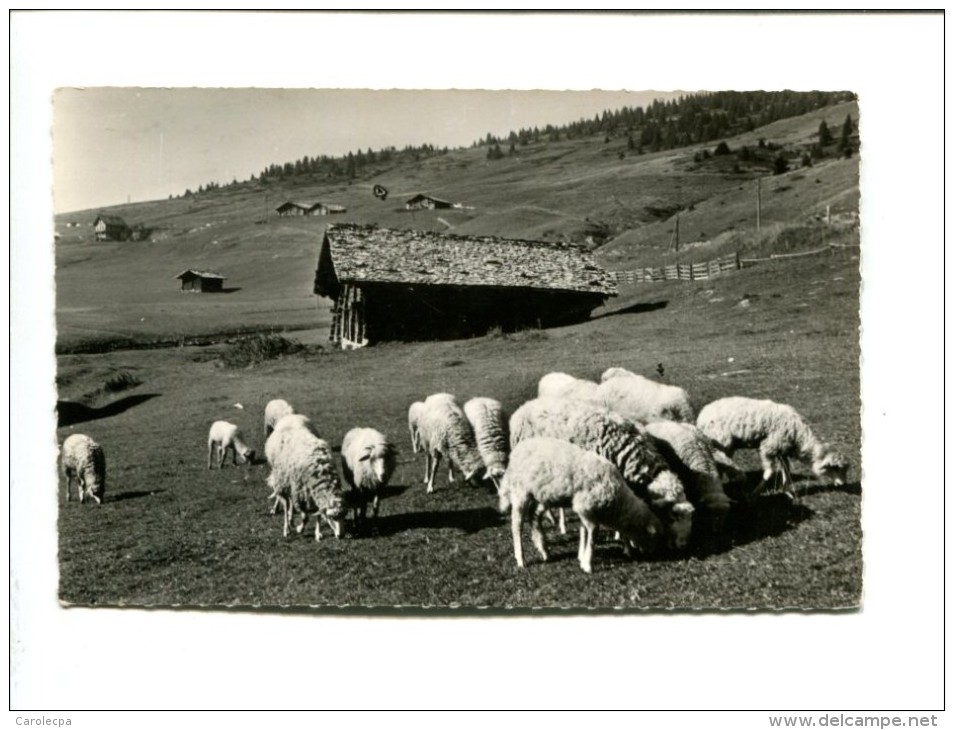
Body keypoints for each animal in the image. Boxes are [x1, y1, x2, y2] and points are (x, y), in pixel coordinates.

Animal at [498, 436, 660, 572]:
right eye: (651, 536)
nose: (652, 553)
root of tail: (517, 450)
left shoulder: (584, 509)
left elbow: (584, 530)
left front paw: (582, 555)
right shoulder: (585, 505)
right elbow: (593, 532)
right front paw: (588, 563)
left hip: (542, 496)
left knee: (534, 516)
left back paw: (544, 550)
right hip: (521, 492)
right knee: (517, 525)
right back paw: (521, 559)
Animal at [692, 396, 848, 498]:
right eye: (835, 468)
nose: (843, 484)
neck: (799, 435)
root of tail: (702, 415)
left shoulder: (781, 450)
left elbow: (786, 470)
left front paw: (787, 491)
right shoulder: (769, 447)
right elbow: (769, 472)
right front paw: (754, 493)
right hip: (722, 442)